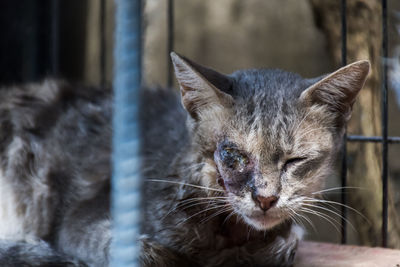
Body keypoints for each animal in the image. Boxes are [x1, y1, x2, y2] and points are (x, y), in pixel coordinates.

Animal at [0, 52, 368, 267]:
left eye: (294, 160)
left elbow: (285, 244)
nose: (265, 199)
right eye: (232, 154)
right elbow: (134, 249)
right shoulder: (78, 220)